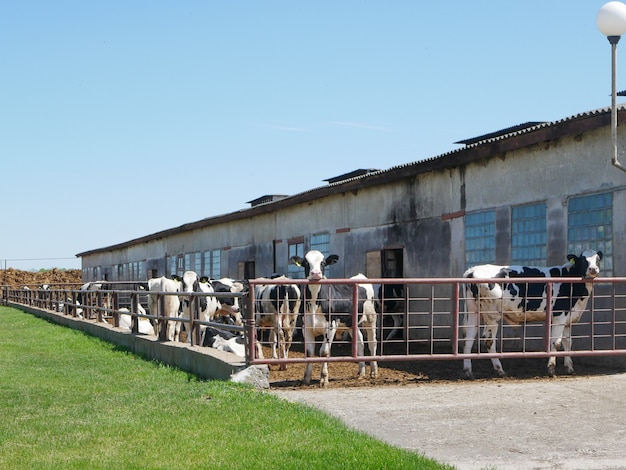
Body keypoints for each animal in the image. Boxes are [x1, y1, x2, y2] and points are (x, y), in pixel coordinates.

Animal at [288, 252, 376, 388]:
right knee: (360, 343)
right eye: (306, 263)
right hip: (351, 323)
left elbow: (324, 352)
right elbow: (309, 353)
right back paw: (361, 373)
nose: (316, 273)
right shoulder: (306, 328)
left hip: (370, 318)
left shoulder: (330, 327)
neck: (314, 303)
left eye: (323, 263)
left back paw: (373, 371)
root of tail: (360, 276)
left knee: (372, 342)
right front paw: (306, 379)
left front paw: (324, 379)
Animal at [464, 250, 600, 378]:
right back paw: (500, 370)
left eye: (598, 259)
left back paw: (469, 372)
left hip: (473, 311)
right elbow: (556, 342)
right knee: (488, 341)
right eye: (583, 260)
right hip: (492, 314)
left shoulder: (568, 318)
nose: (593, 269)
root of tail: (472, 270)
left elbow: (568, 342)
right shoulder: (559, 315)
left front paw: (570, 368)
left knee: (469, 338)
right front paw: (551, 369)